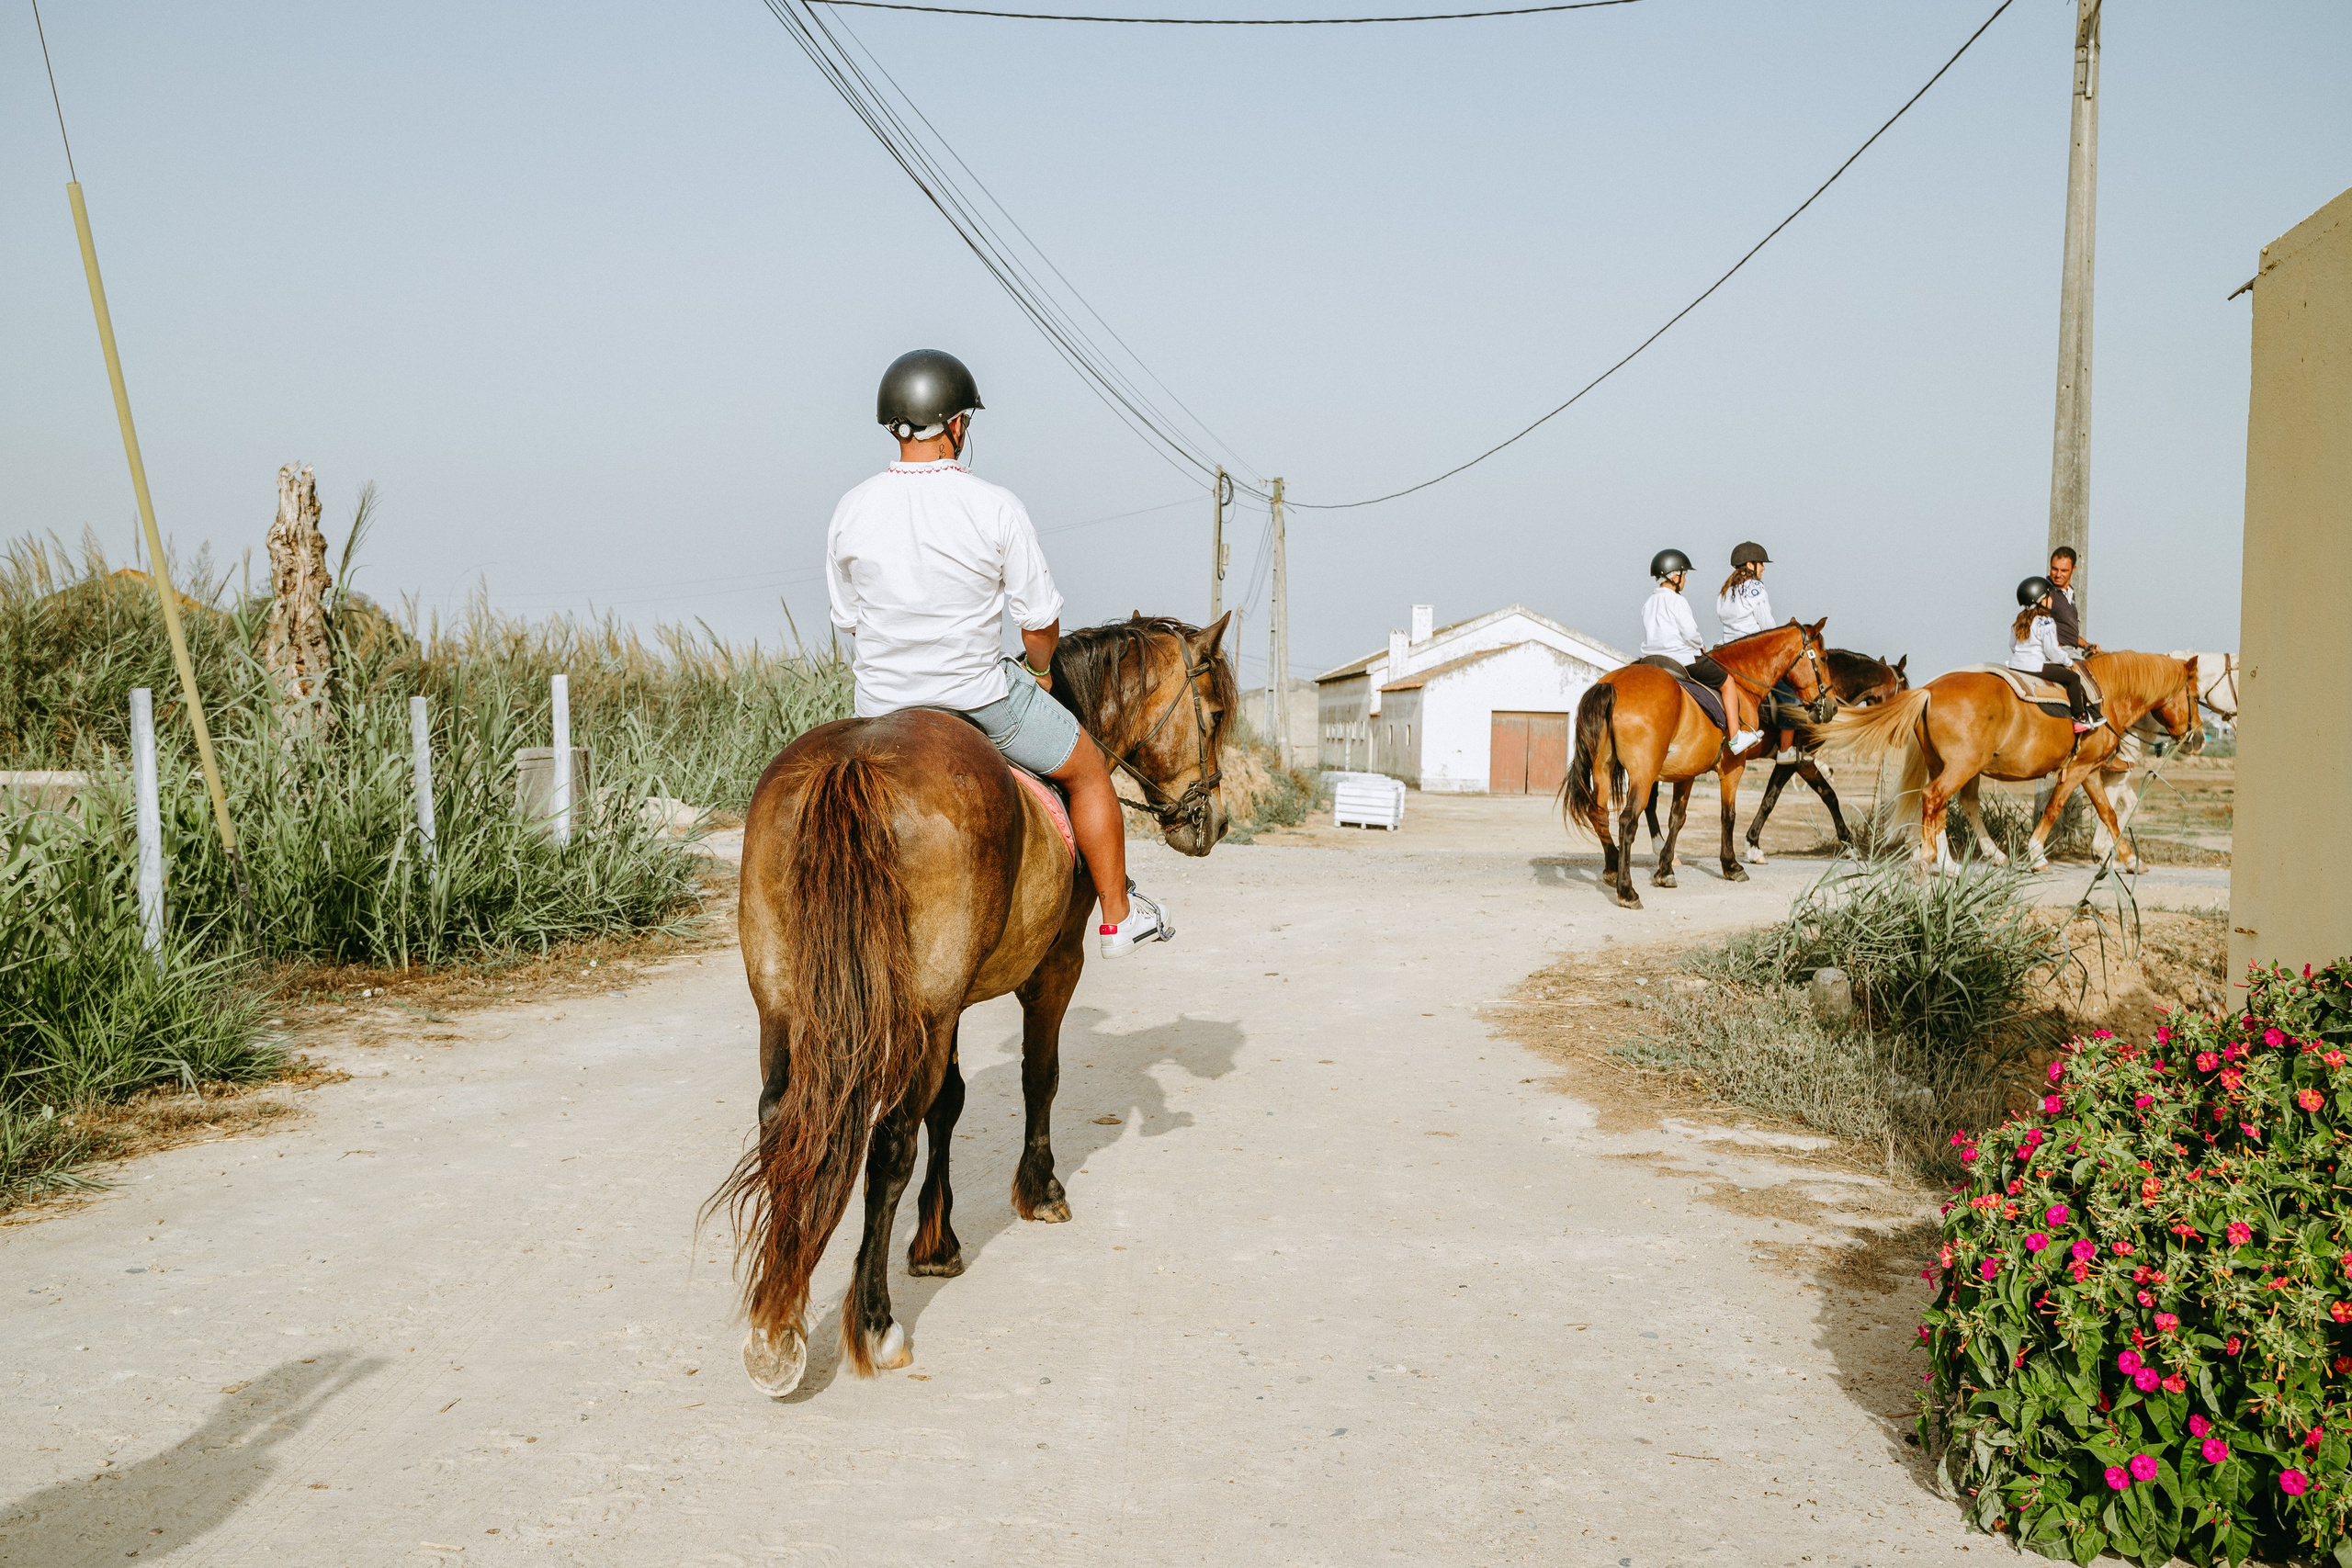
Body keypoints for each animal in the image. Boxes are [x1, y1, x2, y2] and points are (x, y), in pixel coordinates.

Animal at [711, 613, 1235, 1398]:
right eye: (1217, 714)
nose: (1215, 821)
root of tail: (852, 763)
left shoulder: (947, 1003)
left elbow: (950, 1102)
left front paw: (936, 1240)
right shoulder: (1055, 967)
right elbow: (1038, 1076)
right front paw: (1040, 1189)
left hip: (784, 1003)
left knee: (785, 1124)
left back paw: (775, 1332)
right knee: (888, 1142)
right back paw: (875, 1324)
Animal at [1562, 618, 1834, 908]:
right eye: (1824, 659)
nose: (1831, 707)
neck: (1741, 681)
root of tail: (1611, 684)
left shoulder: (1686, 772)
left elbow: (1677, 818)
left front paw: (1665, 870)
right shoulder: (1733, 768)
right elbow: (1728, 815)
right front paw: (1731, 866)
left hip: (1603, 768)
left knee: (1598, 813)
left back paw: (1612, 867)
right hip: (1643, 774)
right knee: (1627, 821)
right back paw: (1627, 890)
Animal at [1808, 651, 2200, 875]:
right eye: (2195, 695)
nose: (2197, 737)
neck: (2103, 696)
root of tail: (1930, 690)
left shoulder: (2088, 771)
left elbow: (2108, 812)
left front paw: (2129, 859)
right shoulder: (2077, 770)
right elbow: (2055, 807)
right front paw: (2036, 854)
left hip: (1949, 766)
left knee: (1949, 804)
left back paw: (1954, 860)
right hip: (1962, 767)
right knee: (1936, 798)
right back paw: (1932, 859)